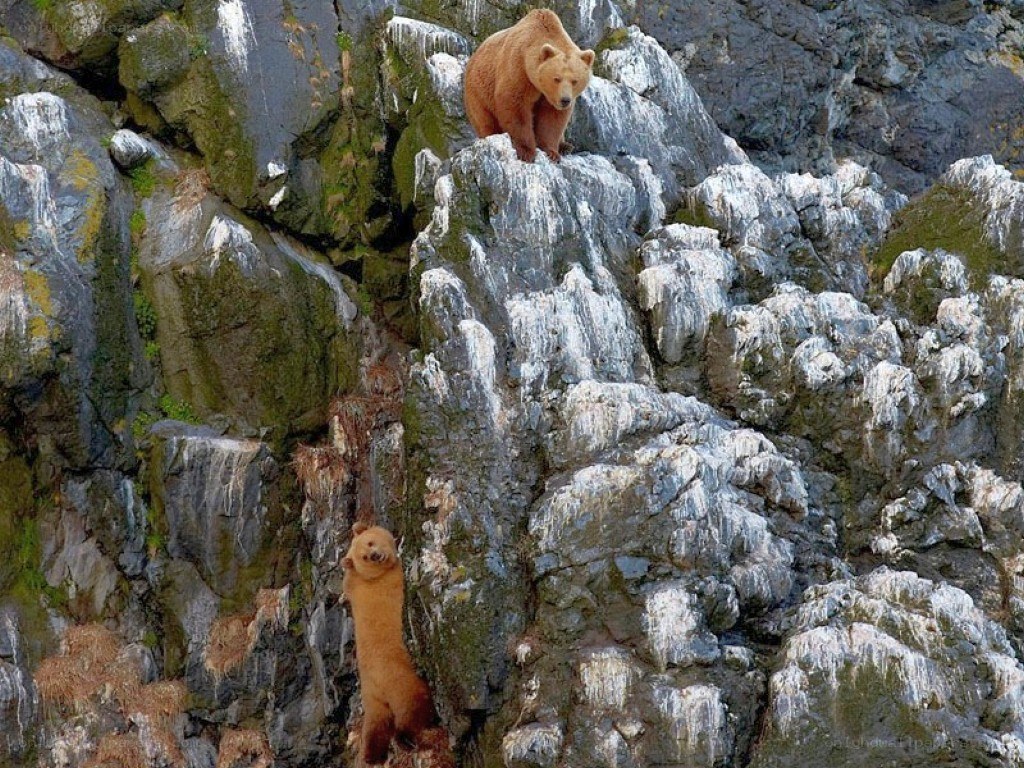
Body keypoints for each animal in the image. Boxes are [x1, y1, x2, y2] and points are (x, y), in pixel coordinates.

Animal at [342, 523, 437, 766]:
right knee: (413, 709)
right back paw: (412, 736)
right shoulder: (393, 579)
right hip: (402, 680)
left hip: (371, 698)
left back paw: (371, 755)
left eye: (369, 542)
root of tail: (379, 686)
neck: (371, 577)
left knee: (376, 726)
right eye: (365, 556)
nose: (376, 555)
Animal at [463, 9, 595, 163]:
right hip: (478, 91)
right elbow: (515, 106)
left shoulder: (550, 97)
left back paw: (566, 146)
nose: (565, 100)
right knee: (484, 120)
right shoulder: (518, 70)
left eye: (575, 81)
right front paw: (526, 151)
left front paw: (552, 152)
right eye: (556, 78)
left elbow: (552, 118)